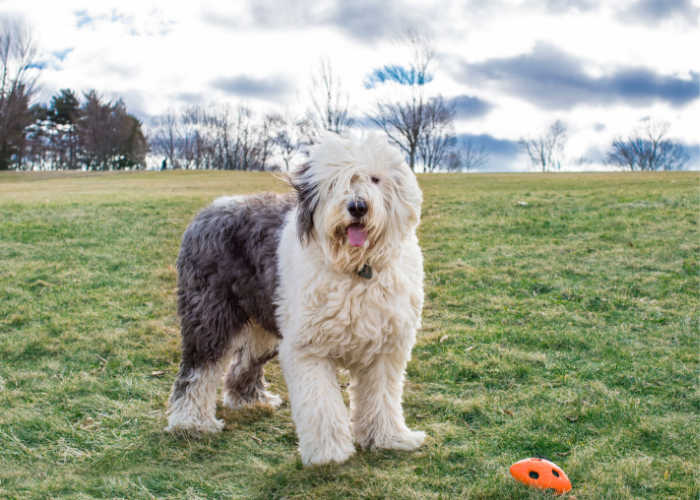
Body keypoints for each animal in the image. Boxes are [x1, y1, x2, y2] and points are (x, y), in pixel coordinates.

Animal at [167, 133, 424, 464]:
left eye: (375, 179)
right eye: (334, 183)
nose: (357, 206)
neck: (356, 269)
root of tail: (210, 209)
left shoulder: (384, 348)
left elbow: (382, 397)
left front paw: (389, 438)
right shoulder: (309, 349)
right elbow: (322, 405)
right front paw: (329, 453)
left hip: (266, 321)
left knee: (243, 362)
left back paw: (252, 400)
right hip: (210, 315)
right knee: (198, 369)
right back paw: (192, 422)